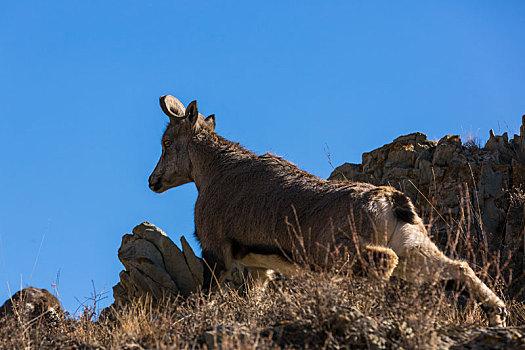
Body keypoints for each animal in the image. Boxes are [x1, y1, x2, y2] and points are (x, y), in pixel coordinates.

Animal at [148, 94, 508, 326]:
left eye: (166, 143)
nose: (154, 181)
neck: (215, 172)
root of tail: (391, 203)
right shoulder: (259, 268)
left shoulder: (216, 250)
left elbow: (206, 295)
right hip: (414, 249)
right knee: (456, 269)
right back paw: (498, 314)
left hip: (341, 251)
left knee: (384, 262)